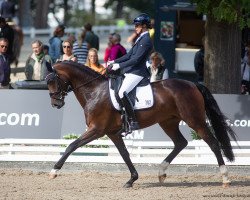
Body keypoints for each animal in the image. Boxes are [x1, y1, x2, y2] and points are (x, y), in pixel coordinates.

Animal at [46, 61, 236, 188]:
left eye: (53, 81)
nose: (55, 104)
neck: (94, 91)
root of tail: (193, 84)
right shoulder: (112, 133)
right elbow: (125, 154)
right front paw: (132, 179)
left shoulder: (97, 130)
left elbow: (72, 145)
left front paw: (54, 171)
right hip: (168, 122)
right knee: (180, 143)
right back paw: (161, 172)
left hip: (194, 120)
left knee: (213, 143)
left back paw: (225, 178)